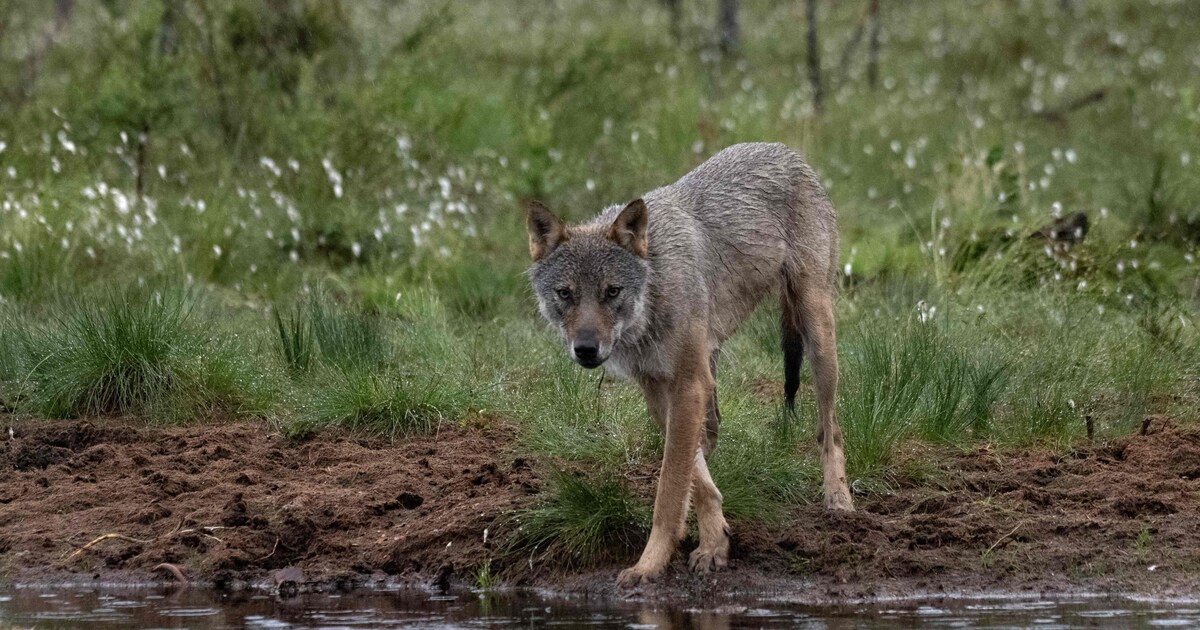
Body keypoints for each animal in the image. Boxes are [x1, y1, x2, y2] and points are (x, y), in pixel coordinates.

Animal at [525, 142, 853, 587]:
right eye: (565, 294)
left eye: (612, 291)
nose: (587, 349)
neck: (655, 289)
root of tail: (784, 150)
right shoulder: (659, 388)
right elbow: (693, 479)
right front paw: (715, 543)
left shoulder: (687, 384)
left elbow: (669, 490)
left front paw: (649, 564)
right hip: (714, 368)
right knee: (714, 433)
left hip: (816, 331)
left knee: (829, 427)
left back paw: (838, 498)